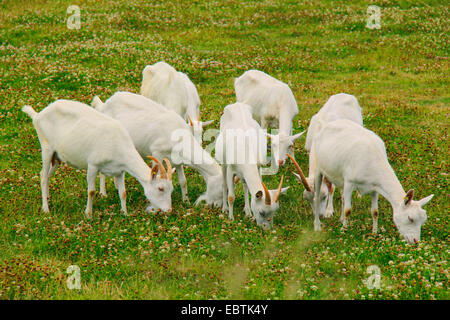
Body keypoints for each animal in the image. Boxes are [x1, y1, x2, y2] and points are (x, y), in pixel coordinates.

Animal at [22, 101, 174, 219]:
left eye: (171, 189)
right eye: (160, 188)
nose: (169, 210)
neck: (117, 143)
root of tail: (38, 115)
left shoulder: (119, 171)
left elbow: (123, 193)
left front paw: (125, 214)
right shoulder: (93, 165)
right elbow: (91, 191)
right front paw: (88, 214)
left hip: (57, 157)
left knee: (47, 176)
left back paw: (47, 198)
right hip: (46, 148)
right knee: (43, 175)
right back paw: (46, 209)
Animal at [92, 92, 224, 208]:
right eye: (222, 188)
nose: (217, 206)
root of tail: (103, 105)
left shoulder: (177, 160)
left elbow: (183, 181)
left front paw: (186, 201)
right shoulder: (157, 152)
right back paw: (103, 193)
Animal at [215, 101, 288, 229]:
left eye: (274, 211)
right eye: (262, 212)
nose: (267, 229)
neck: (245, 149)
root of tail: (236, 104)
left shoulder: (257, 166)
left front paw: (249, 213)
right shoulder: (230, 169)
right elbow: (231, 196)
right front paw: (231, 218)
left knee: (245, 185)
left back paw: (247, 211)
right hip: (224, 163)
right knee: (224, 184)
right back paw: (224, 208)